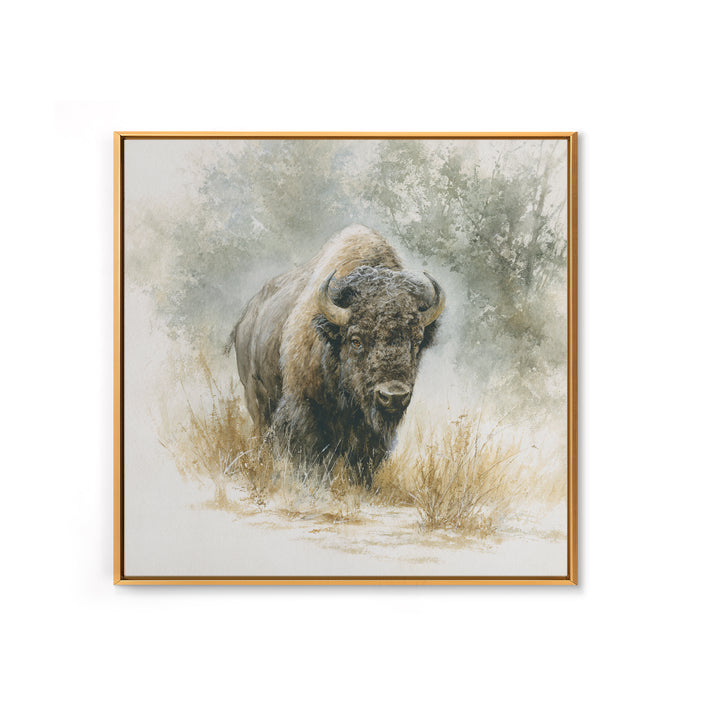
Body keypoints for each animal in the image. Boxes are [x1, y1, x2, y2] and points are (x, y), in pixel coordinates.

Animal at [226, 224, 445, 485]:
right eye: (356, 340)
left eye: (417, 341)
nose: (393, 396)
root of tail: (244, 319)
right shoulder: (304, 409)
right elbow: (311, 458)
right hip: (256, 398)